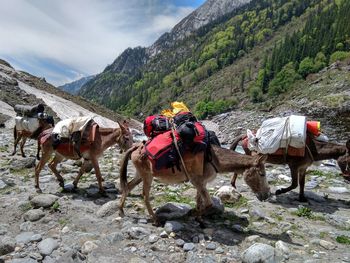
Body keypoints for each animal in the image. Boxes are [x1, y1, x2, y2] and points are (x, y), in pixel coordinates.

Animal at [119, 143, 270, 226]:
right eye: (262, 174)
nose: (267, 195)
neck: (215, 159)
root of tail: (136, 146)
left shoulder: (201, 183)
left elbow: (199, 201)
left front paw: (199, 219)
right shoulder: (197, 181)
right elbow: (208, 203)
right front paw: (192, 214)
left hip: (140, 175)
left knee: (127, 187)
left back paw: (121, 210)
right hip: (147, 176)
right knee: (145, 195)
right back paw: (155, 220)